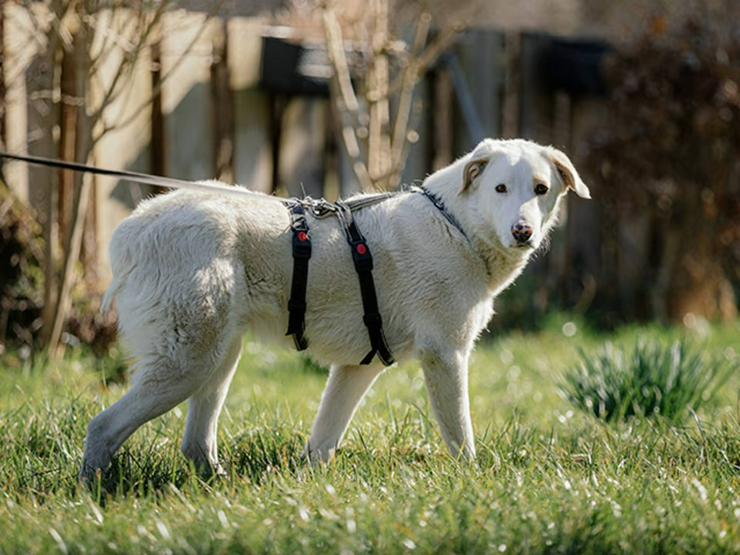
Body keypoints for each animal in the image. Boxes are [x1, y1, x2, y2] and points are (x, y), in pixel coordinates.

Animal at [81, 139, 588, 482]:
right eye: (500, 188)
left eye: (540, 189)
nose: (523, 231)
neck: (455, 223)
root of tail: (132, 231)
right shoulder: (446, 357)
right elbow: (460, 435)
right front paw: (471, 479)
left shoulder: (357, 368)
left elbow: (323, 441)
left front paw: (311, 486)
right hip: (187, 363)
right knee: (102, 427)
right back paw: (95, 491)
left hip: (219, 359)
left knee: (194, 444)